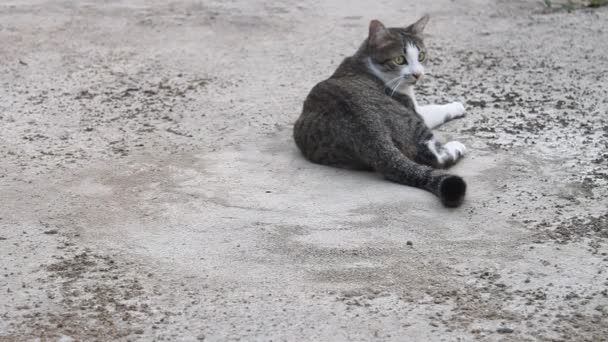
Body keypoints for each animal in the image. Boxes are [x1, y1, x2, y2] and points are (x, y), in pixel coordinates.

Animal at [292, 16, 468, 207]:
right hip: (412, 124)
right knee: (431, 156)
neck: (367, 63)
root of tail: (368, 129)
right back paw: (456, 147)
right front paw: (457, 105)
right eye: (399, 60)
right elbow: (434, 109)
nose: (418, 74)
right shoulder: (414, 108)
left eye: (421, 56)